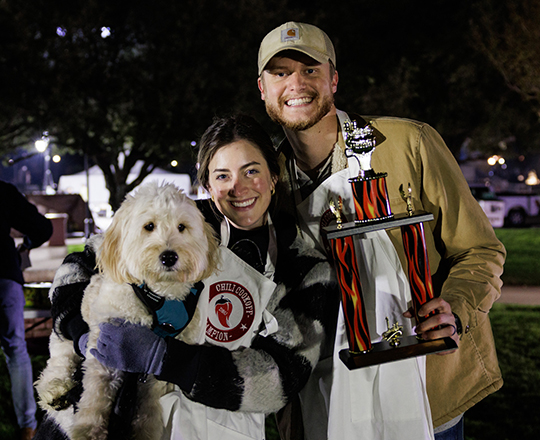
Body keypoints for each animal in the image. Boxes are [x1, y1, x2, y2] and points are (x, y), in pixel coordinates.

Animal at [35, 180, 219, 438]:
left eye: (182, 227)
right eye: (149, 226)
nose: (169, 257)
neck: (159, 294)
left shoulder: (156, 365)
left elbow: (149, 405)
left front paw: (145, 431)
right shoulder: (105, 349)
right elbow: (96, 395)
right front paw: (88, 430)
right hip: (62, 341)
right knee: (59, 360)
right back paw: (54, 388)